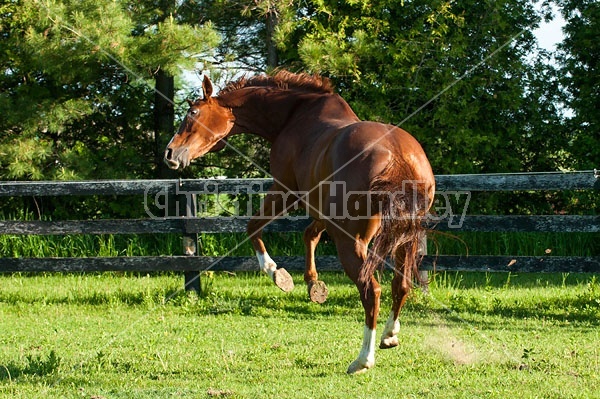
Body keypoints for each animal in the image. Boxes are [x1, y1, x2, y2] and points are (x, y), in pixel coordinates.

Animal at [164, 72, 436, 376]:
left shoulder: (286, 190)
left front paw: (277, 274)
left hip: (351, 240)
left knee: (371, 290)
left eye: (193, 113)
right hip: (402, 237)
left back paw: (362, 360)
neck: (293, 115)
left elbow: (253, 227)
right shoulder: (319, 209)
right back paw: (389, 334)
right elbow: (309, 235)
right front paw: (313, 284)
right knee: (400, 285)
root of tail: (398, 155)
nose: (170, 153)